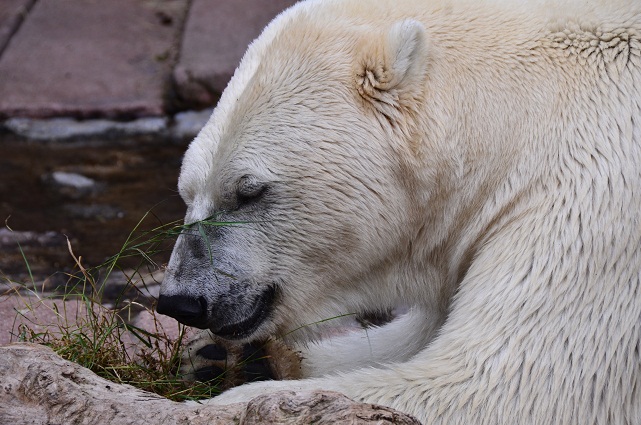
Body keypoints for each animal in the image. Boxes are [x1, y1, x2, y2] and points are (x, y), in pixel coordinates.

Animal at [156, 0, 640, 420]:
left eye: (249, 191)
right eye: (187, 191)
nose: (182, 301)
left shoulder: (593, 201)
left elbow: (493, 388)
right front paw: (220, 356)